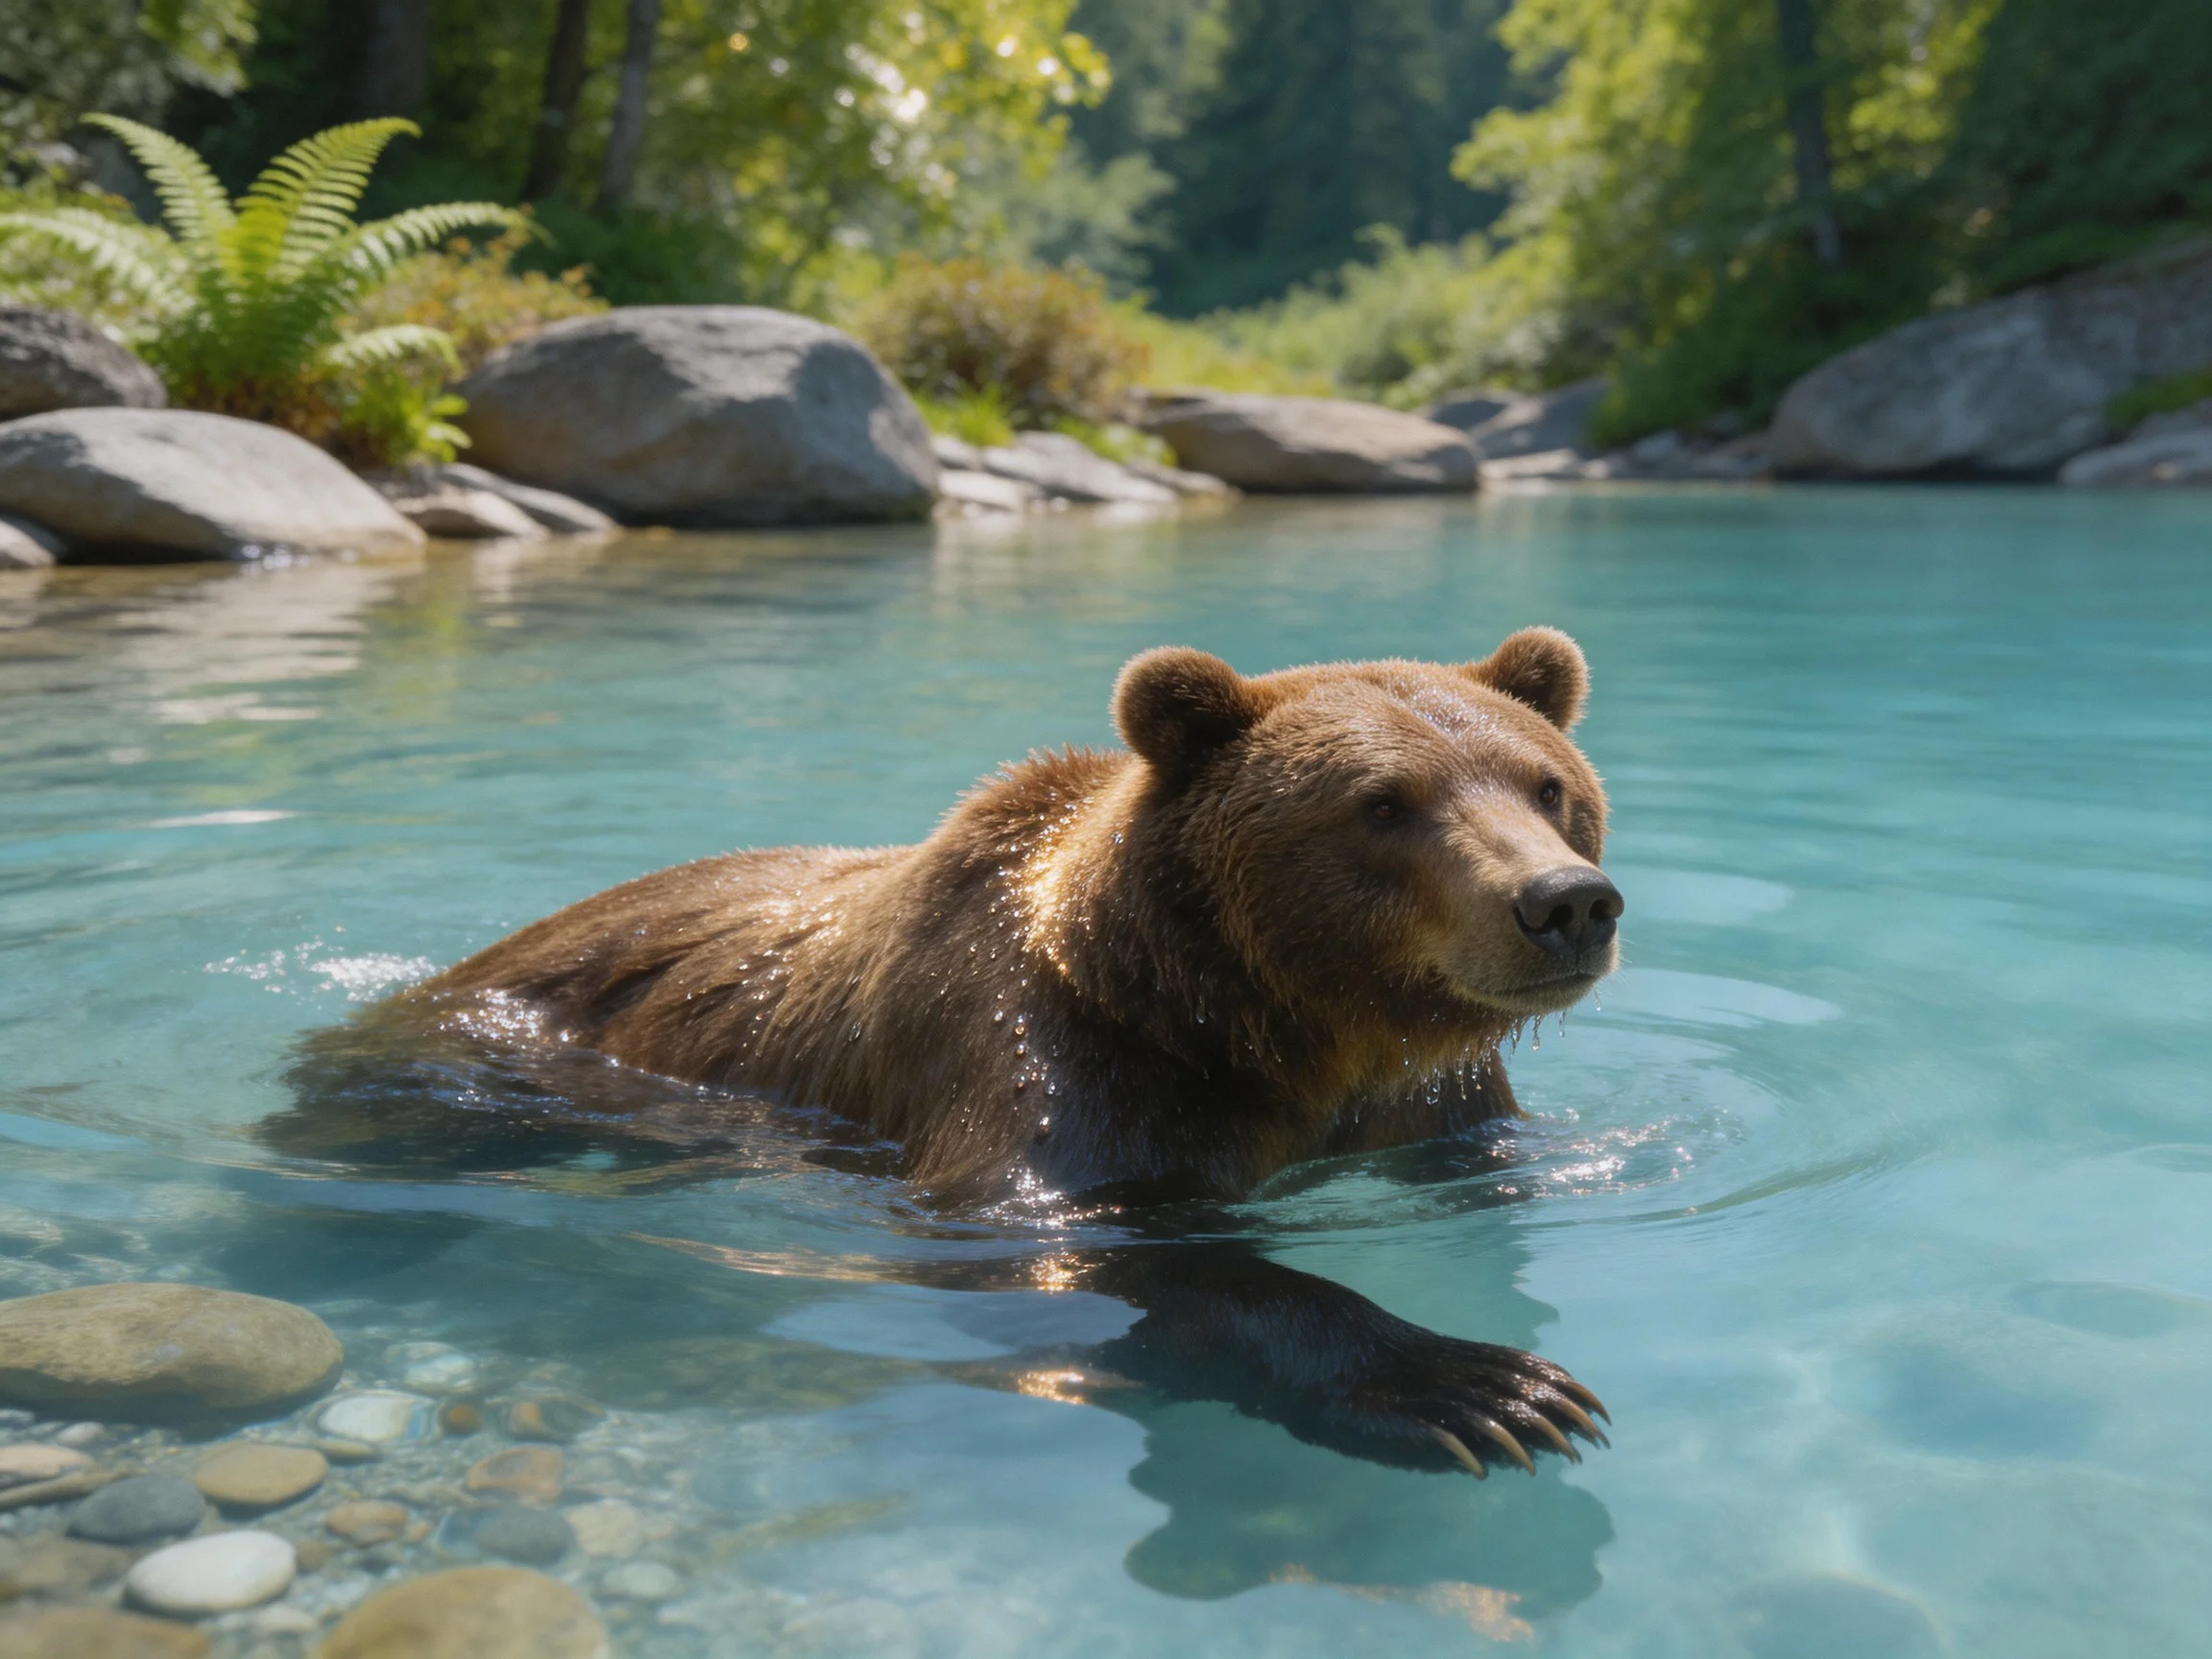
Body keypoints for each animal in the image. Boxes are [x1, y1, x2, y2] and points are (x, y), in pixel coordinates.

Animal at [311, 629, 1622, 1478]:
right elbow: (1066, 1248)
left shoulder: (1430, 1097)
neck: (1278, 1023)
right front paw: (1486, 1388)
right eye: (1383, 803)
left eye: (1546, 784)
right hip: (473, 1054)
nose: (1565, 903)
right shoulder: (1052, 1063)